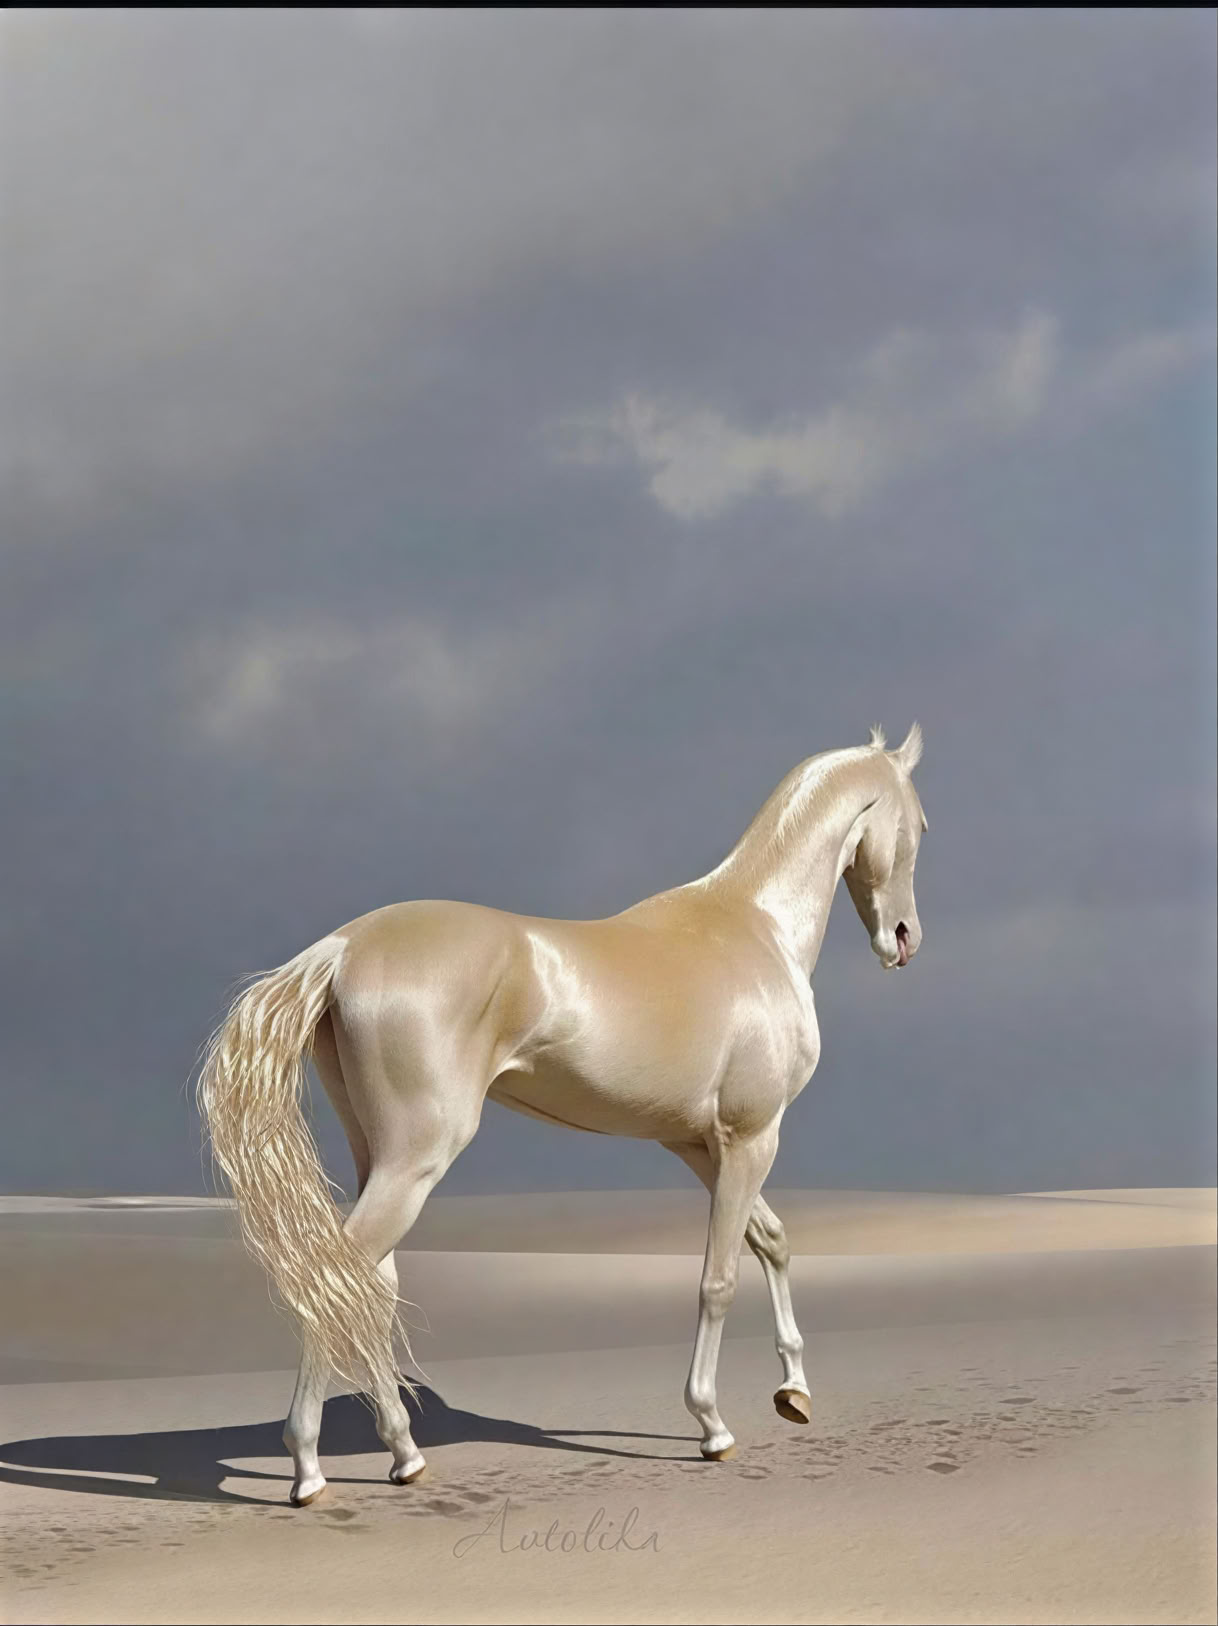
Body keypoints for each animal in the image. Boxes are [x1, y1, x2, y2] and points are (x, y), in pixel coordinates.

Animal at [198, 722, 927, 1505]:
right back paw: (307, 1469)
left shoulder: (700, 1144)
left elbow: (773, 1241)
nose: (903, 939)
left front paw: (794, 1392)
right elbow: (719, 1279)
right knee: (339, 1281)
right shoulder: (751, 1137)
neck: (755, 930)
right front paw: (712, 1426)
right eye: (918, 826)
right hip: (417, 1159)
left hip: (379, 1158)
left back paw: (404, 1453)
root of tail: (342, 948)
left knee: (369, 1286)